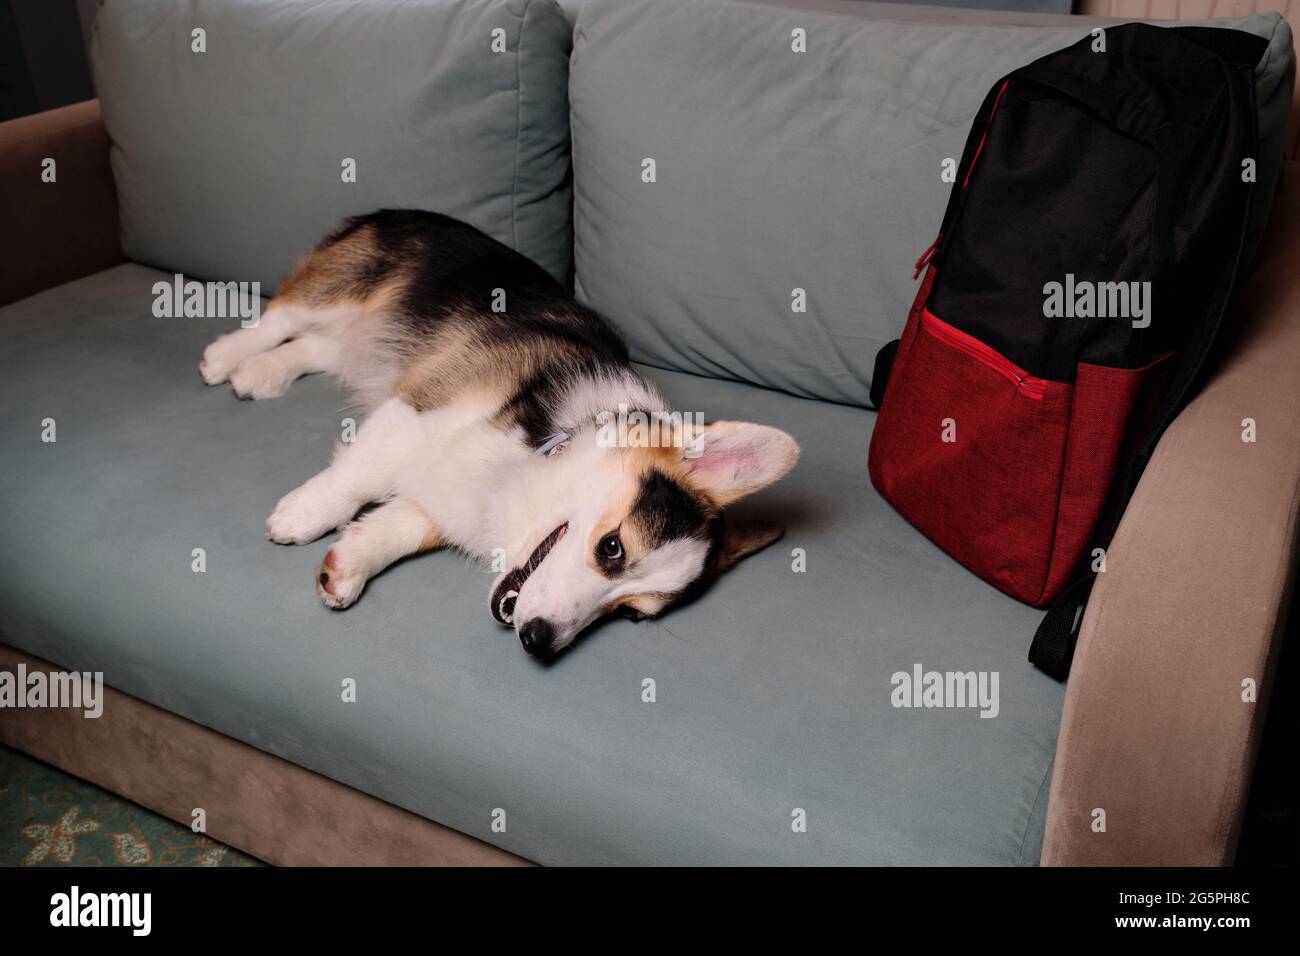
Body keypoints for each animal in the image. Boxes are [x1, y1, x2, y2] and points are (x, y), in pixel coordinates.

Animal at [198, 209, 795, 658]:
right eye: (612, 548)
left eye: (628, 613)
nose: (538, 640)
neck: (539, 457)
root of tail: (400, 210)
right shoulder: (419, 407)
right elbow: (359, 476)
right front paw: (303, 515)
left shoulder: (441, 500)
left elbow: (398, 526)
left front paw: (348, 566)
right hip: (339, 288)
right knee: (279, 318)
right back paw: (225, 357)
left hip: (361, 340)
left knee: (317, 347)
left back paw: (262, 374)